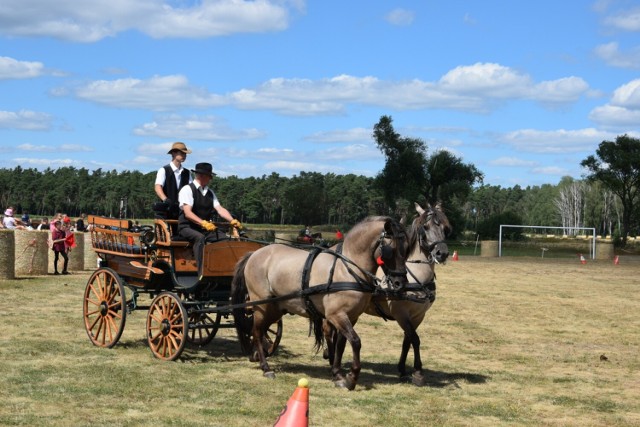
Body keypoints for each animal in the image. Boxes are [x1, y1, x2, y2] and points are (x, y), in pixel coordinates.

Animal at [231, 217, 410, 392]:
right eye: (391, 250)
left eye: (407, 248)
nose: (400, 283)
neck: (346, 269)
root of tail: (255, 253)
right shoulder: (336, 315)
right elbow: (355, 341)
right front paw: (351, 378)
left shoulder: (351, 317)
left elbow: (341, 344)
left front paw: (337, 374)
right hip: (261, 306)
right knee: (257, 331)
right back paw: (266, 367)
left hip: (275, 308)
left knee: (259, 331)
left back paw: (256, 356)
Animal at [324, 204, 450, 388]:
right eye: (425, 227)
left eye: (444, 228)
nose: (442, 253)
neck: (416, 277)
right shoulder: (400, 313)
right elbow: (415, 339)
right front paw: (418, 373)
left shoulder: (418, 315)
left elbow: (408, 340)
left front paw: (403, 370)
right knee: (327, 329)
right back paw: (330, 357)